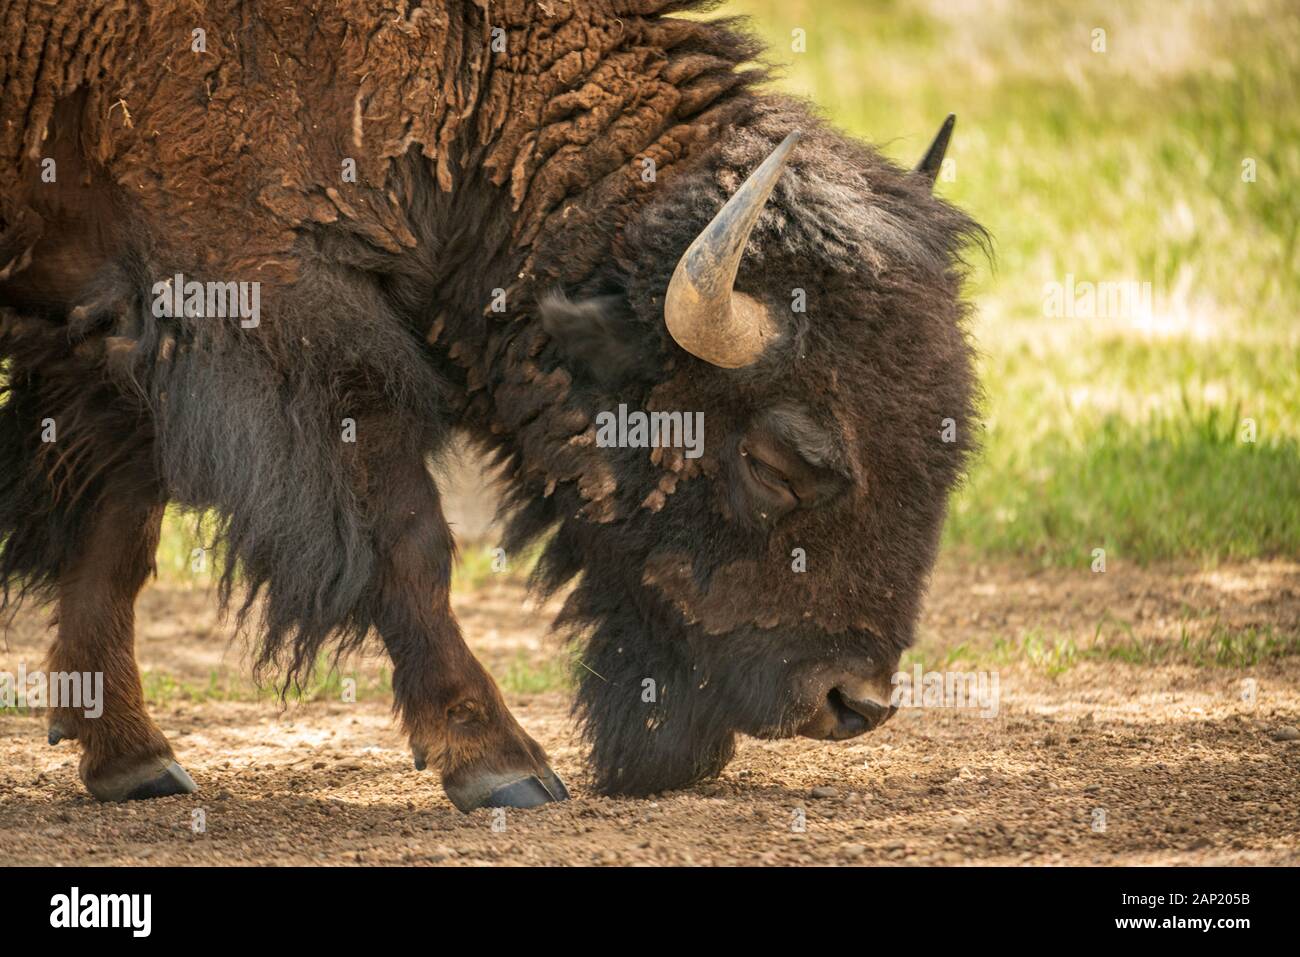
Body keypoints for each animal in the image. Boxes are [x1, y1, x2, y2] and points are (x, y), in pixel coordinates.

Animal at [0, 0, 977, 811]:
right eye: (780, 462)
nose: (852, 701)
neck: (472, 89)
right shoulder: (275, 316)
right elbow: (410, 542)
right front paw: (505, 765)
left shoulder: (111, 326)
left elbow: (116, 532)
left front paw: (130, 758)